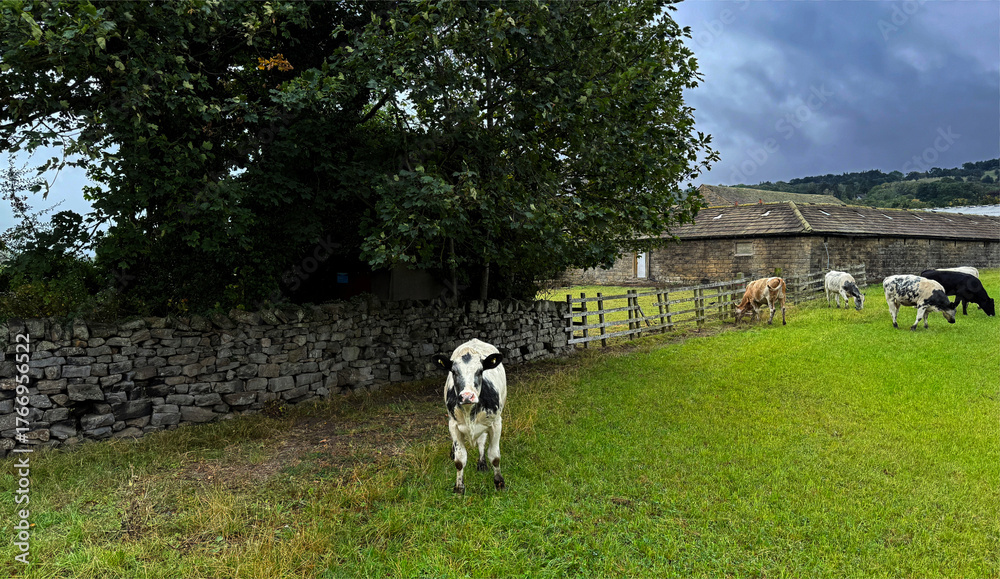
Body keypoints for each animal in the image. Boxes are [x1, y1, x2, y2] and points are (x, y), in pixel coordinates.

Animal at [432, 339, 507, 494]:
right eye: (454, 372)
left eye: (480, 371)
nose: (467, 396)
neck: (469, 411)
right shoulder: (453, 425)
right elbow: (460, 460)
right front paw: (459, 488)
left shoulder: (496, 423)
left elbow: (494, 456)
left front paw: (499, 483)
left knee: (481, 441)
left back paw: (482, 463)